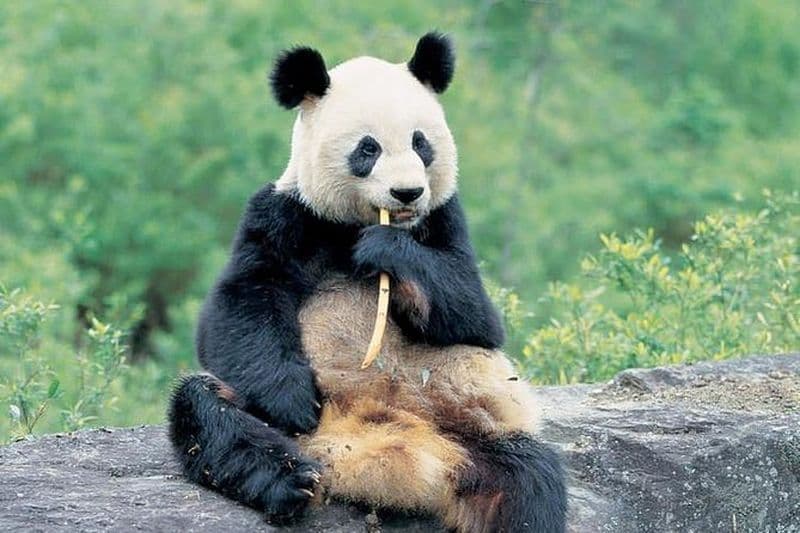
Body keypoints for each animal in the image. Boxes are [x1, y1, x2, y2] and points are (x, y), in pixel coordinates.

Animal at [168, 32, 567, 532]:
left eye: (421, 143)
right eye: (368, 148)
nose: (407, 193)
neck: (355, 223)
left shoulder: (445, 216)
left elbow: (477, 315)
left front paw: (386, 249)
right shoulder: (284, 214)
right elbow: (237, 307)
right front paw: (292, 400)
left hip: (478, 433)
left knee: (528, 483)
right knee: (209, 412)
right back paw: (292, 482)